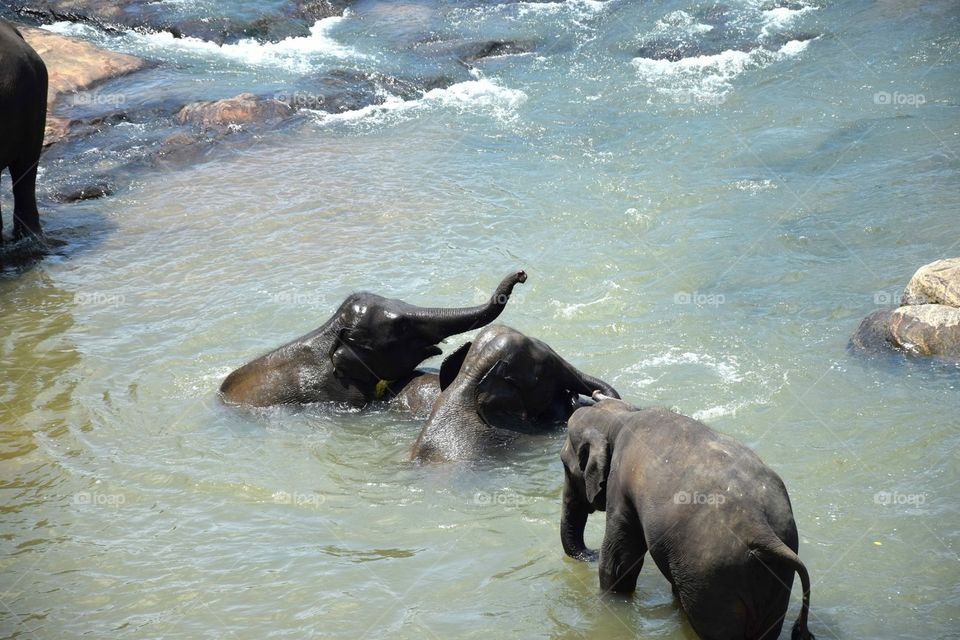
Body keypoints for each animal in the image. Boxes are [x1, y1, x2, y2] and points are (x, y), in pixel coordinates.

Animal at [560, 396, 812, 640]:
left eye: (564, 464)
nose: (590, 553)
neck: (620, 417)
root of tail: (763, 531)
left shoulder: (620, 489)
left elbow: (619, 562)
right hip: (772, 581)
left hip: (712, 579)